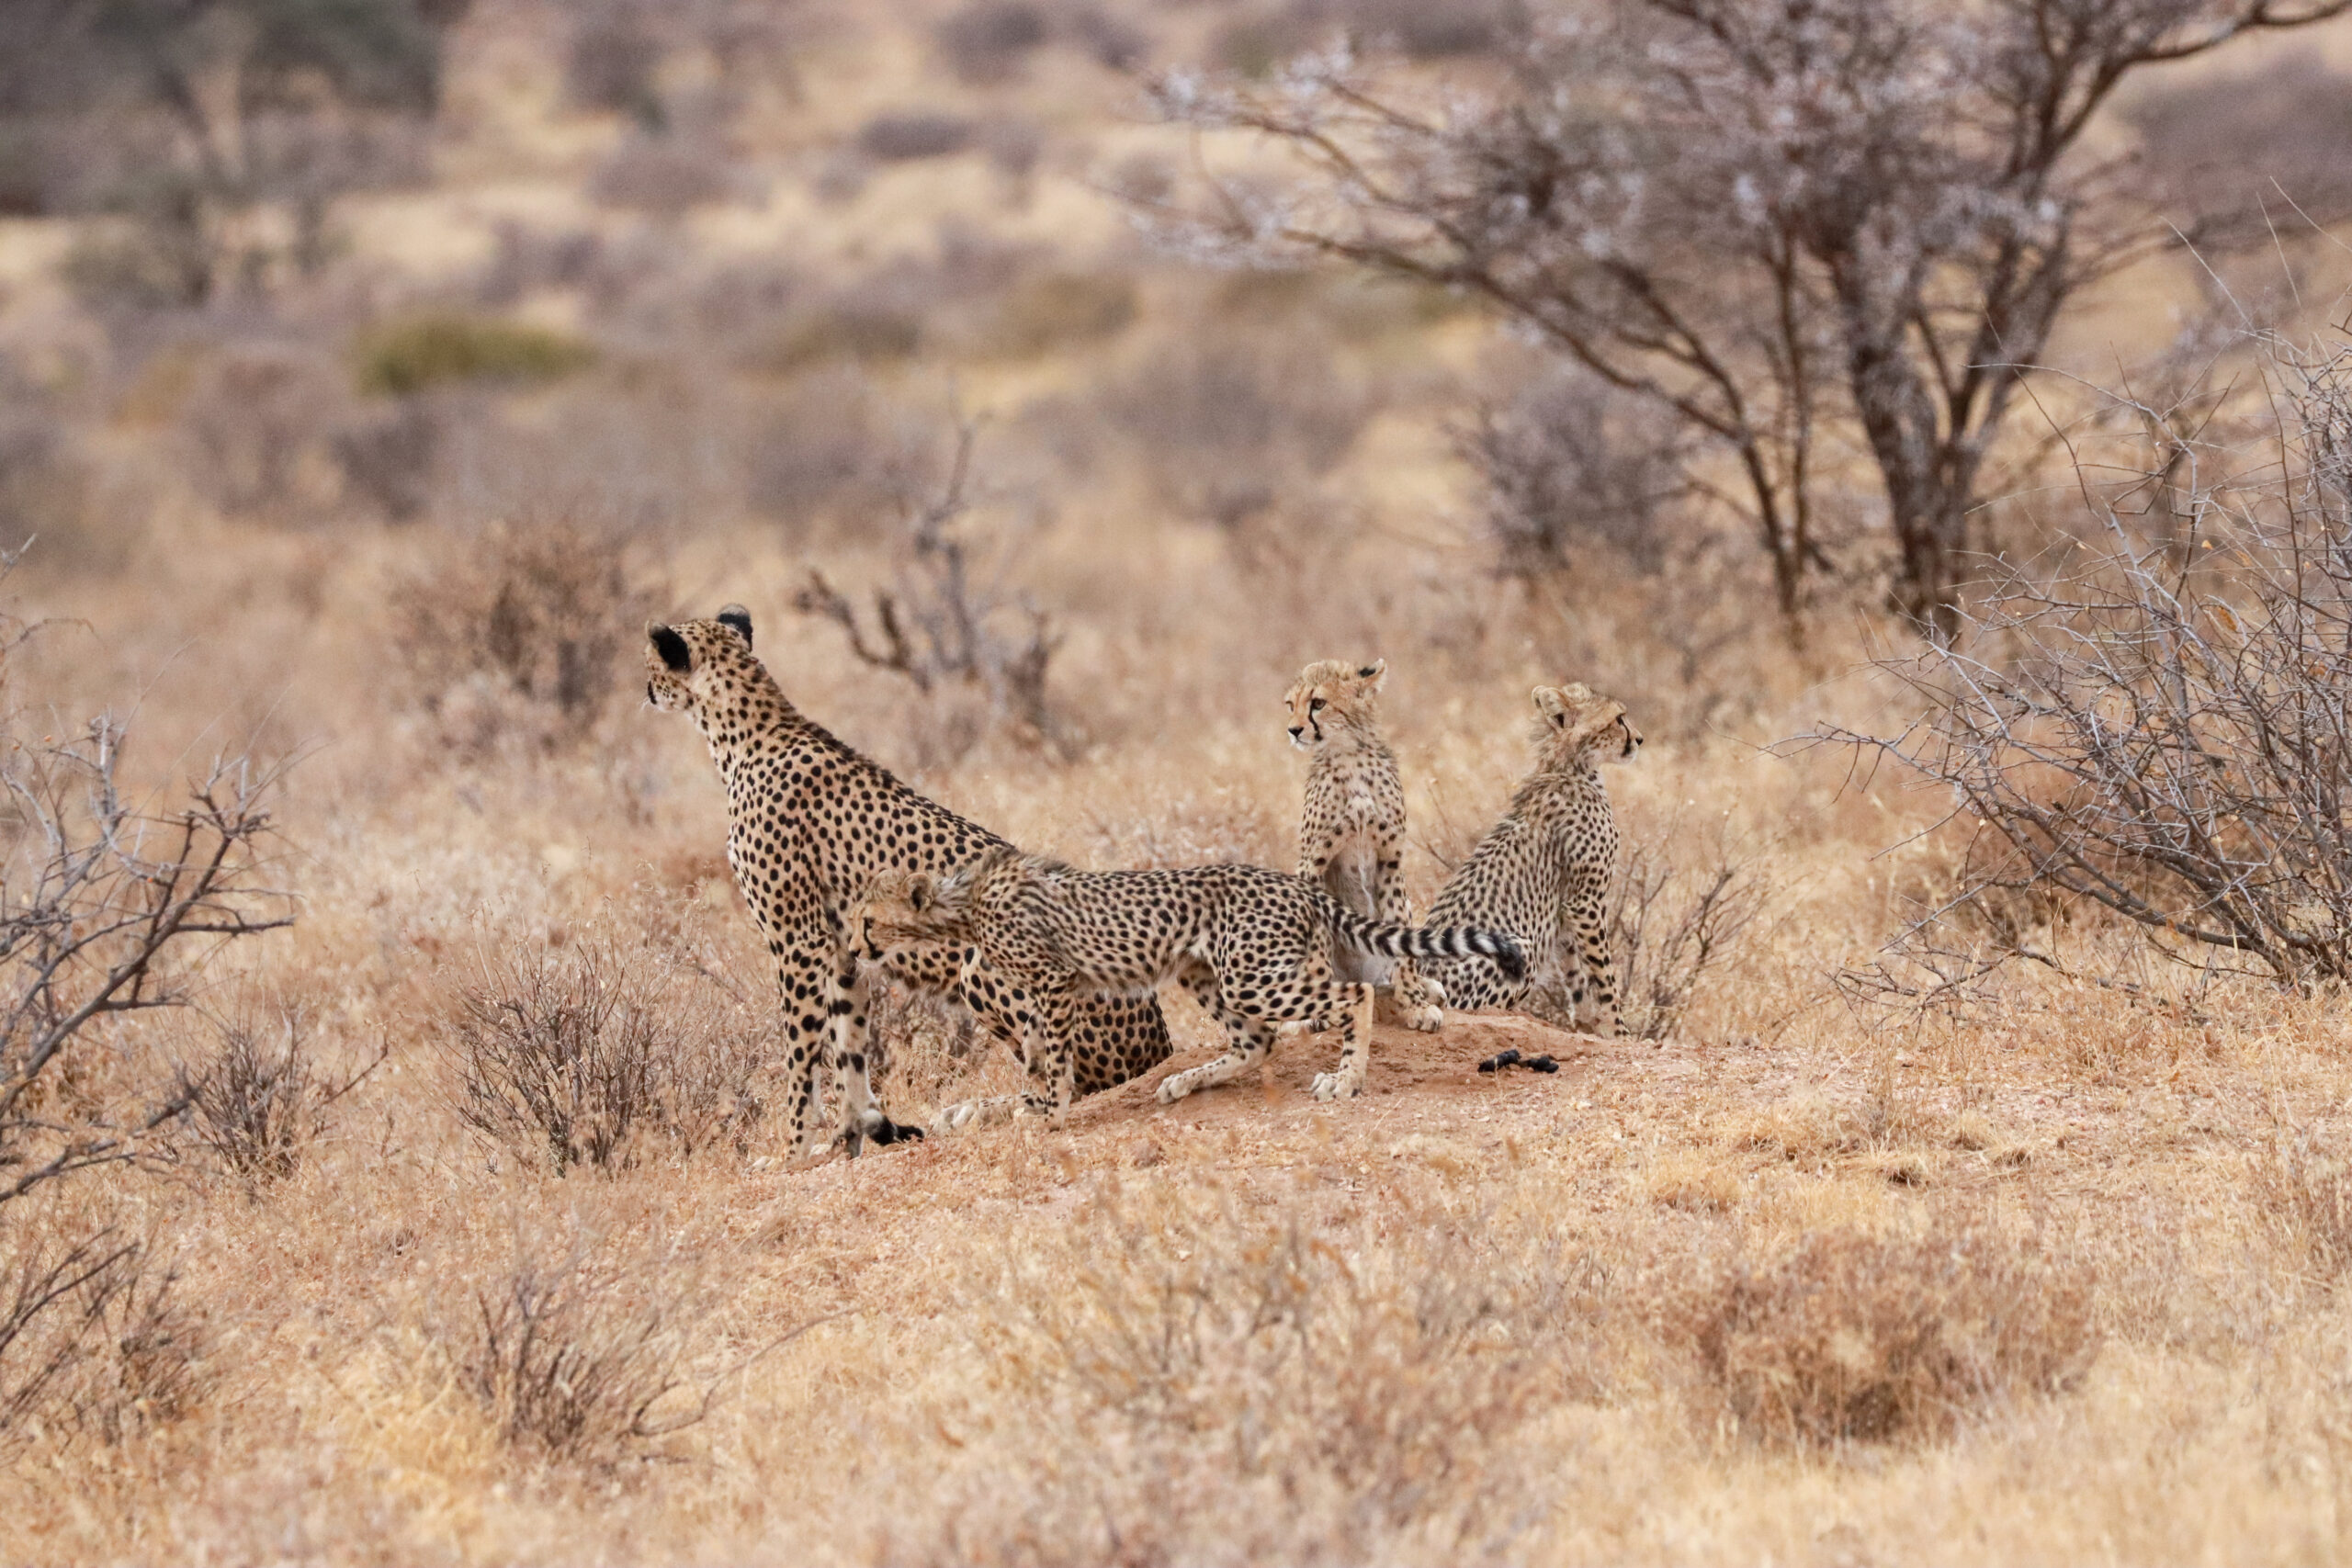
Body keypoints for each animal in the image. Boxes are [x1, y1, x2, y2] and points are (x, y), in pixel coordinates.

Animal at [644, 606, 1166, 1161]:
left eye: (650, 664)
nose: (647, 690)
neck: (747, 733)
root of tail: (1162, 1039)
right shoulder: (842, 947)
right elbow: (848, 1045)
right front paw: (852, 1133)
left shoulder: (798, 943)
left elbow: (800, 1056)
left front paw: (794, 1151)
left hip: (981, 967)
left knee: (1079, 1082)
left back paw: (989, 1109)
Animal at [846, 851, 1523, 1123]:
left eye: (866, 919)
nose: (853, 949)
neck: (962, 903)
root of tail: (1296, 884)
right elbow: (1039, 1053)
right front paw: (1033, 1102)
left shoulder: (1058, 982)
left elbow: (1054, 1056)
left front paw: (1047, 1110)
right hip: (1210, 976)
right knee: (1257, 1042)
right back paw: (1183, 1081)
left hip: (1253, 976)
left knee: (1351, 996)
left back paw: (1345, 1078)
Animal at [1288, 658, 1448, 1029]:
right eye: (1291, 705)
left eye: (1318, 703)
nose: (1293, 730)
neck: (1348, 754)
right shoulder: (1311, 863)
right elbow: (1318, 947)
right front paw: (1315, 1009)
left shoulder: (1390, 862)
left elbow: (1402, 941)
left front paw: (1416, 1004)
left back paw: (1426, 986)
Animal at [1411, 682, 1636, 1029]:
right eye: (1619, 719)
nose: (1639, 739)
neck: (1569, 767)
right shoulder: (1585, 901)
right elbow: (1603, 975)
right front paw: (1618, 1030)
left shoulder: (1566, 908)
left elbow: (1576, 974)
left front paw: (1586, 1023)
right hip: (1519, 948)